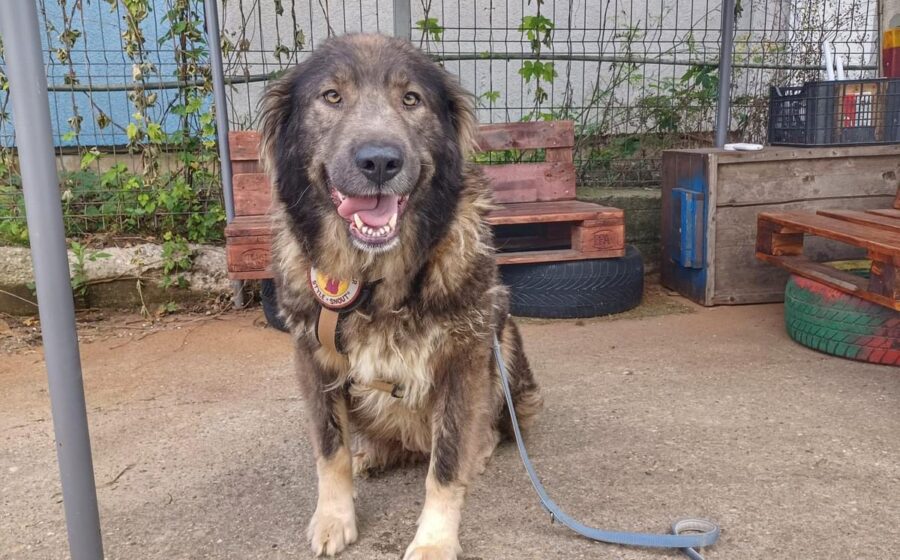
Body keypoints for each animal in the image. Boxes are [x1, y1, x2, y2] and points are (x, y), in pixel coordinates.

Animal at [258, 33, 543, 559]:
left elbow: (446, 464)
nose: (379, 162)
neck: (377, 280)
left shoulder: (464, 357)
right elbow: (329, 450)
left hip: (505, 336)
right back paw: (371, 453)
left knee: (491, 426)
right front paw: (334, 517)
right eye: (332, 96)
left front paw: (434, 540)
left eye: (411, 99)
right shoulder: (314, 358)